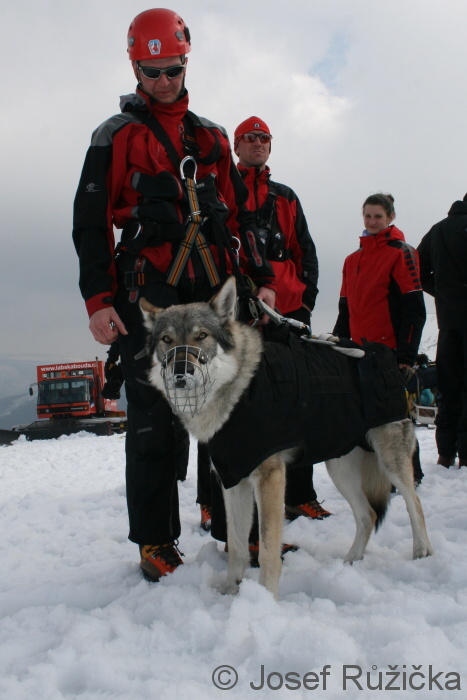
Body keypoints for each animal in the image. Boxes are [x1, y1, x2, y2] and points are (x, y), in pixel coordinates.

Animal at [141, 276, 434, 600]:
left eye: (201, 336)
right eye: (167, 340)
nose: (181, 372)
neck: (237, 391)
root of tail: (387, 357)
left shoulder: (269, 477)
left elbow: (267, 549)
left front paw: (266, 599)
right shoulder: (234, 481)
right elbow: (237, 547)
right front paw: (231, 592)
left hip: (390, 463)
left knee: (414, 505)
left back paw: (422, 553)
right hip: (340, 469)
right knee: (367, 515)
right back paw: (350, 563)